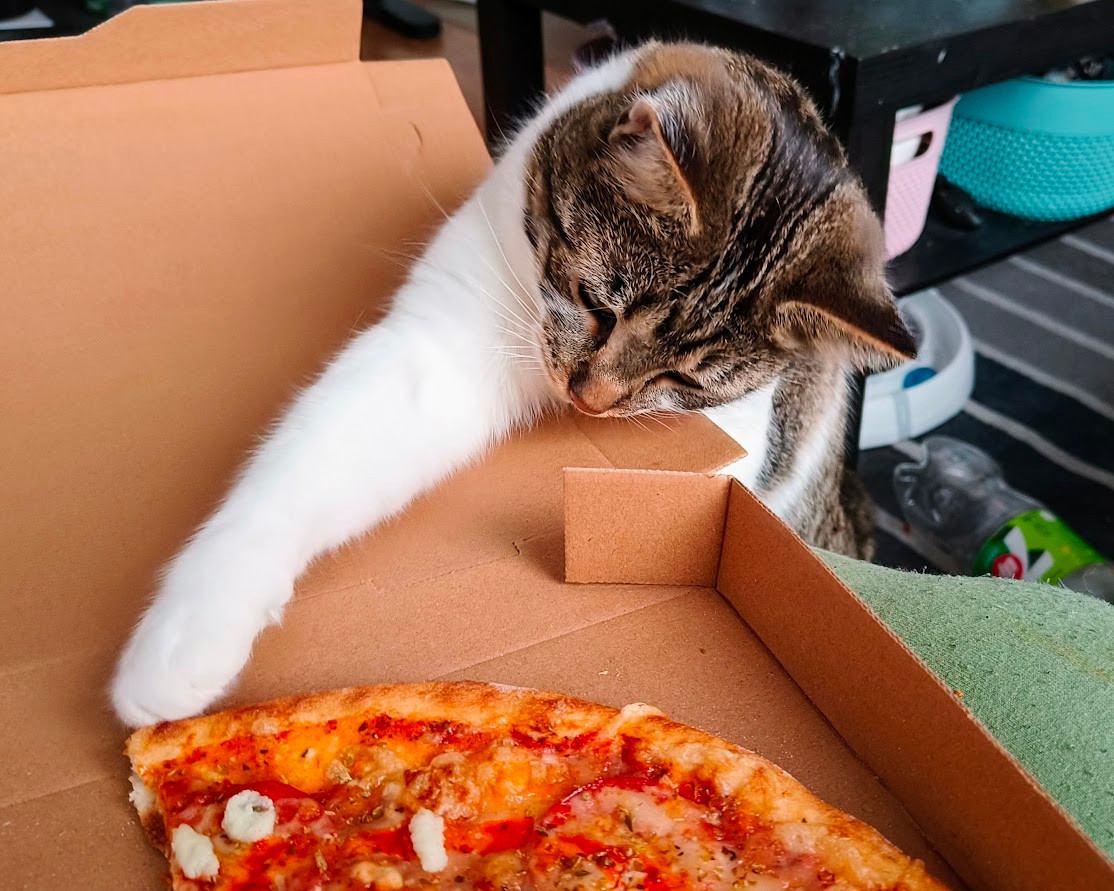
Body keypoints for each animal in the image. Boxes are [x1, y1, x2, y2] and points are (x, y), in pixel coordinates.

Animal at [110, 38, 913, 726]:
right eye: (596, 303)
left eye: (683, 377)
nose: (589, 399)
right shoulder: (442, 339)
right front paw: (186, 633)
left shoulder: (739, 437)